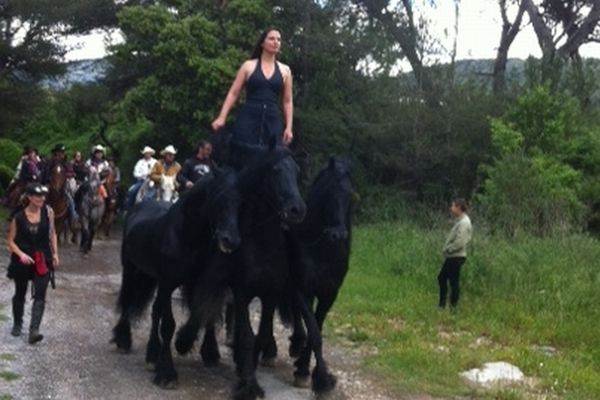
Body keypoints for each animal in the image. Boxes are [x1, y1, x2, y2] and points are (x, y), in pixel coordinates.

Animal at [173, 142, 304, 398]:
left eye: (296, 171)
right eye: (275, 170)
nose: (297, 209)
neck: (262, 245)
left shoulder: (270, 294)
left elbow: (261, 336)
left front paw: (246, 369)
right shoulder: (242, 291)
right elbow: (245, 337)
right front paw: (249, 384)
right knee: (205, 310)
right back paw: (200, 347)